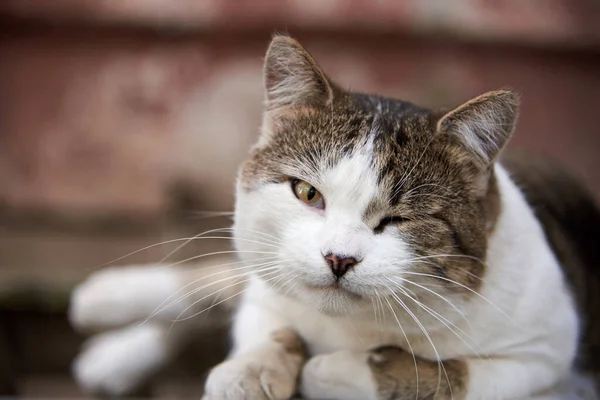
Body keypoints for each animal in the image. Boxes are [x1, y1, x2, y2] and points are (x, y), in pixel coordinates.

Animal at [70, 35, 600, 400]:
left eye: (400, 219)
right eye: (307, 193)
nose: (338, 258)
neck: (349, 326)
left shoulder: (546, 356)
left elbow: (458, 376)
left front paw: (337, 371)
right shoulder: (269, 290)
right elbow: (267, 321)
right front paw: (250, 369)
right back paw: (107, 309)